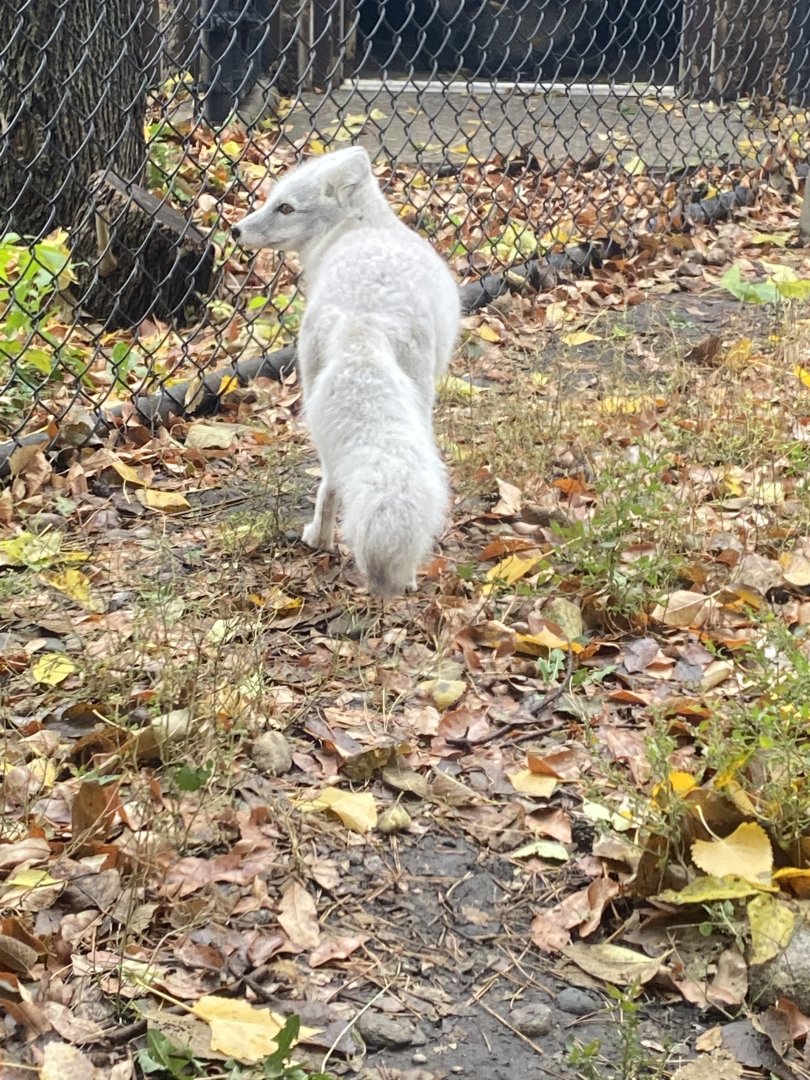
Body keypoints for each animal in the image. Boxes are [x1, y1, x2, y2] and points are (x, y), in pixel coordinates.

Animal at [232, 146, 460, 595]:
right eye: (273, 202)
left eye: (285, 207)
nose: (235, 230)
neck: (362, 226)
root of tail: (362, 320)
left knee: (332, 479)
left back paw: (322, 542)